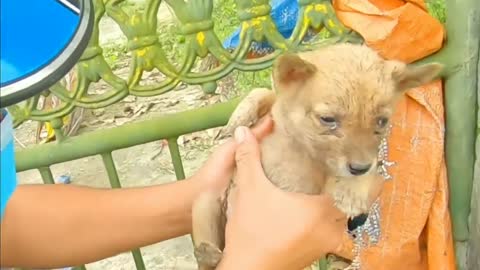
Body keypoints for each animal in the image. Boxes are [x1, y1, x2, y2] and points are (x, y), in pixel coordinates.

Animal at [192, 43, 442, 268]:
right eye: (328, 119)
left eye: (382, 121)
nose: (359, 167)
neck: (299, 146)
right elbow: (262, 92)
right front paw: (238, 118)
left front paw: (353, 188)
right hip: (205, 206)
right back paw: (207, 253)